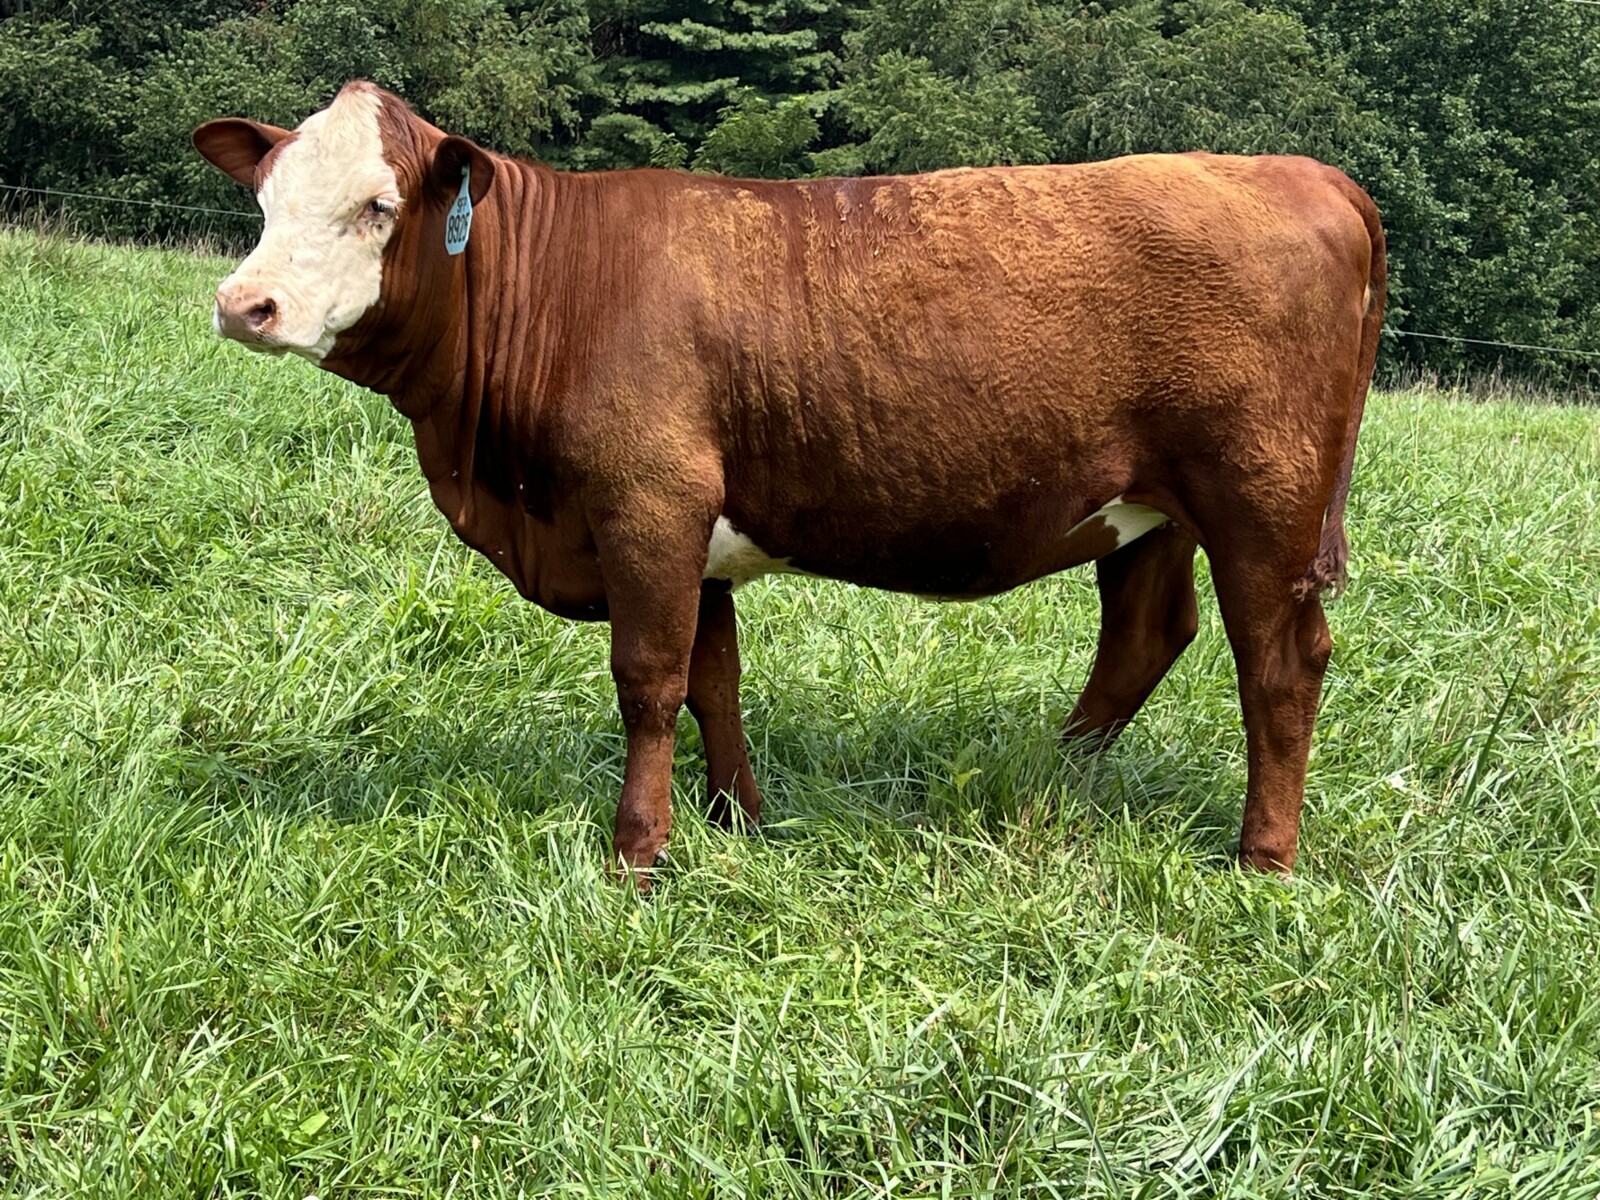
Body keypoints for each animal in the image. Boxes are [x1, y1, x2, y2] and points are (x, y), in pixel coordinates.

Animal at [193, 81, 1386, 885]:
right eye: (264, 200)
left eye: (377, 206)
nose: (245, 304)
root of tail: (1301, 169)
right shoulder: (694, 532)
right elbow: (713, 678)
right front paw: (741, 819)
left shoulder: (647, 507)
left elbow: (648, 681)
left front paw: (639, 852)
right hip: (1153, 509)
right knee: (1146, 633)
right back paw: (1053, 773)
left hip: (1261, 504)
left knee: (1279, 664)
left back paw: (1262, 858)